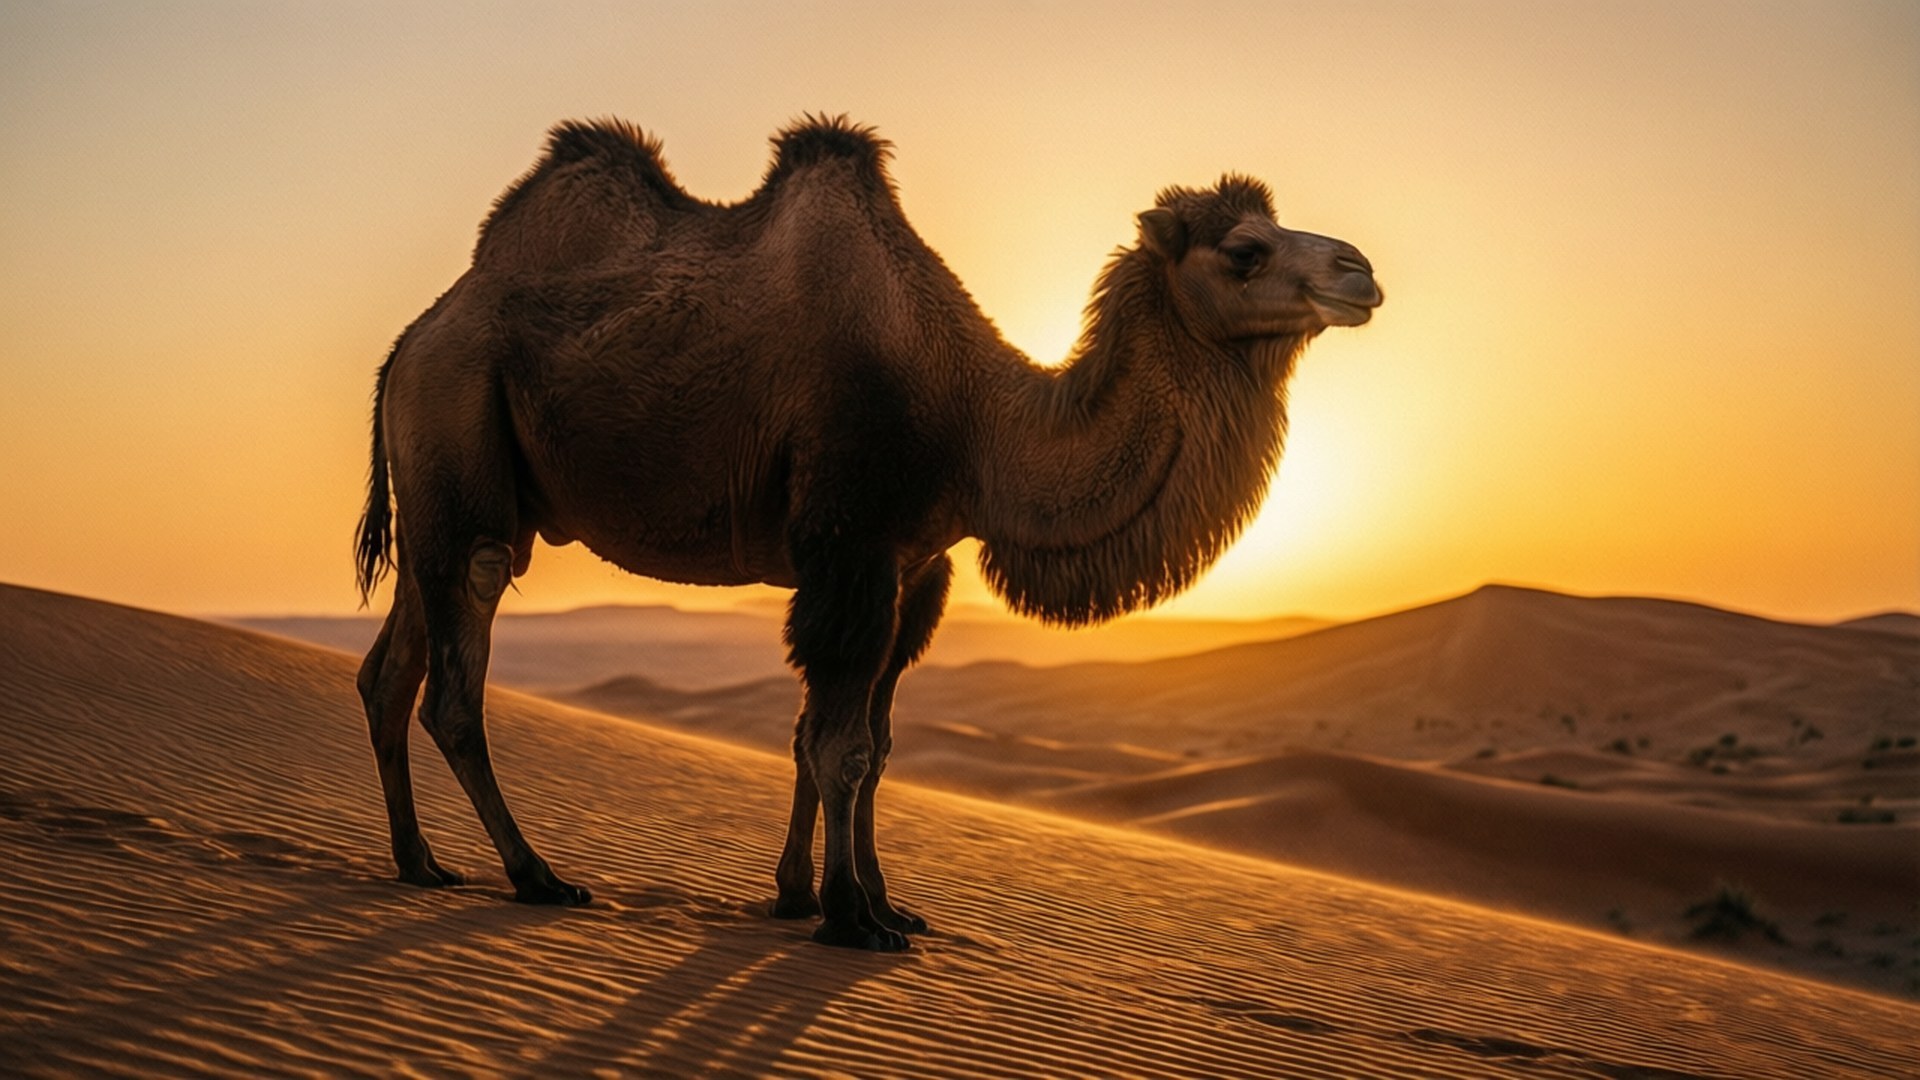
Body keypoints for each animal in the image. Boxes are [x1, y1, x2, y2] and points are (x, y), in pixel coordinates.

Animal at [353, 116, 1381, 950]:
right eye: (1245, 250)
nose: (1361, 271)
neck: (975, 423)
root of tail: (407, 341)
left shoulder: (913, 567)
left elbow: (861, 742)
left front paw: (841, 899)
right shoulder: (851, 551)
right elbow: (839, 743)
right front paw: (850, 917)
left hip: (452, 491)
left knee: (389, 668)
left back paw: (419, 862)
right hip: (461, 451)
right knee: (455, 676)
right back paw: (536, 876)